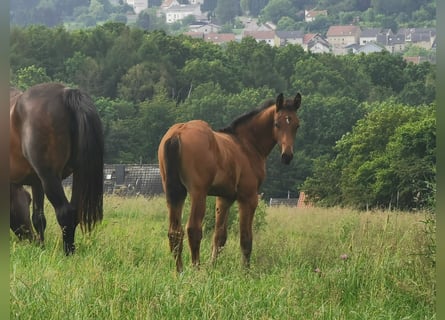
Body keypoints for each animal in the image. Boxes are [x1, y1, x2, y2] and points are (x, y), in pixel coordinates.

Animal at [10, 83, 103, 255]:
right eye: (27, 198)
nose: (31, 240)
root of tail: (65, 93)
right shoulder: (37, 183)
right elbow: (38, 218)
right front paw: (41, 248)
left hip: (50, 178)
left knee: (65, 212)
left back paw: (68, 253)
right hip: (76, 176)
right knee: (73, 212)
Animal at [158, 91, 300, 272]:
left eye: (296, 125)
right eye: (277, 124)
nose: (287, 156)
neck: (246, 145)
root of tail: (177, 134)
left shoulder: (224, 198)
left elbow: (219, 237)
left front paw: (213, 268)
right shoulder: (248, 197)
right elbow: (246, 238)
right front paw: (245, 271)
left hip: (174, 192)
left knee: (175, 232)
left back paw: (180, 271)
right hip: (198, 193)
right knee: (193, 229)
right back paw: (196, 270)